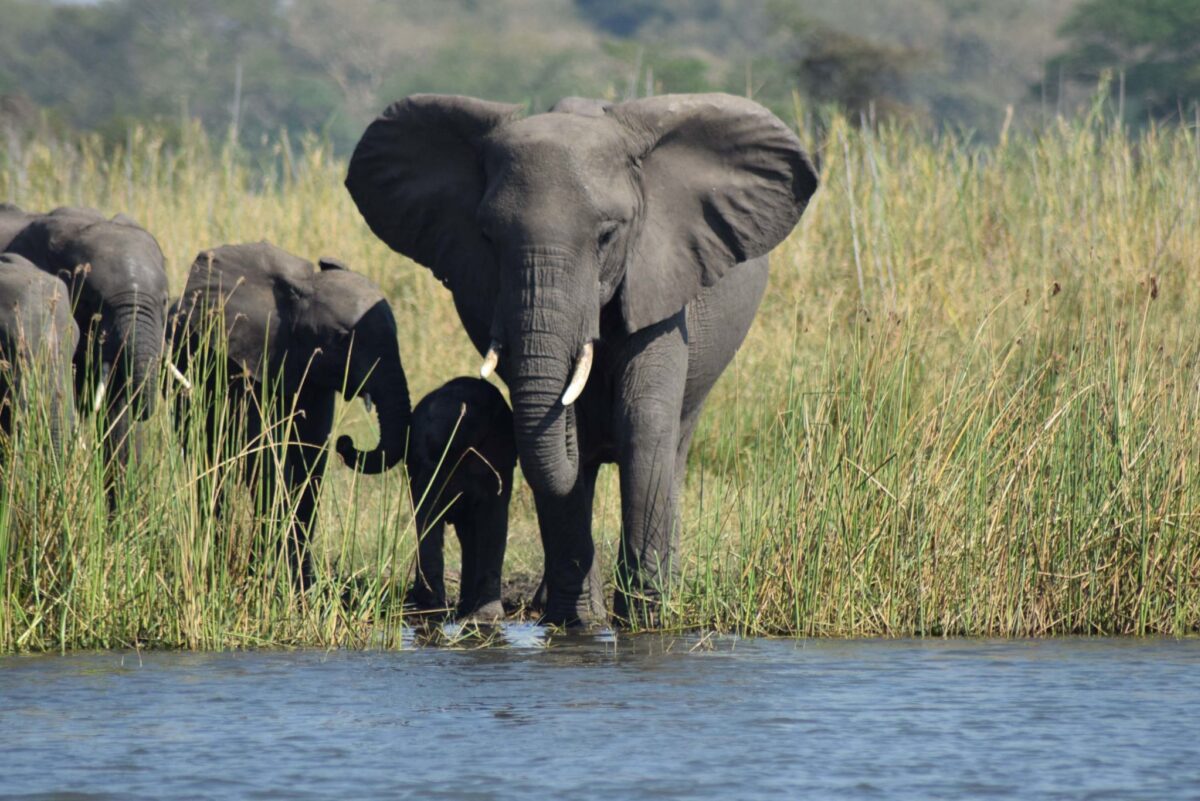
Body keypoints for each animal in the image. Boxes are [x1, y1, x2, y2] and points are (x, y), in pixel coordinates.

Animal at [170, 241, 411, 586]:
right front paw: (264, 578)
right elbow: (261, 456)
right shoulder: (248, 362)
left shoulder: (313, 376)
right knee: (209, 466)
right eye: (342, 339)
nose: (347, 443)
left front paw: (300, 584)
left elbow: (310, 459)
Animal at [405, 376, 516, 621]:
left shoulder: (497, 460)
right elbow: (427, 515)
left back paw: (466, 609)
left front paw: (486, 617)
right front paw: (431, 611)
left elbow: (493, 521)